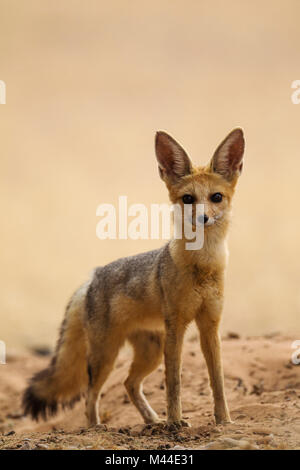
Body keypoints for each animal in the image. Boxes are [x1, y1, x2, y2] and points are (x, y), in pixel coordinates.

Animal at [22, 126, 244, 428]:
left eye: (216, 197)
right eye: (188, 199)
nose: (203, 219)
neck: (203, 266)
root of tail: (92, 277)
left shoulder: (210, 325)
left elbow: (217, 380)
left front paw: (223, 420)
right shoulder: (177, 327)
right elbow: (174, 382)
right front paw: (175, 422)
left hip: (149, 354)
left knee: (129, 383)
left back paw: (152, 421)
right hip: (106, 356)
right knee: (90, 395)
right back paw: (97, 427)